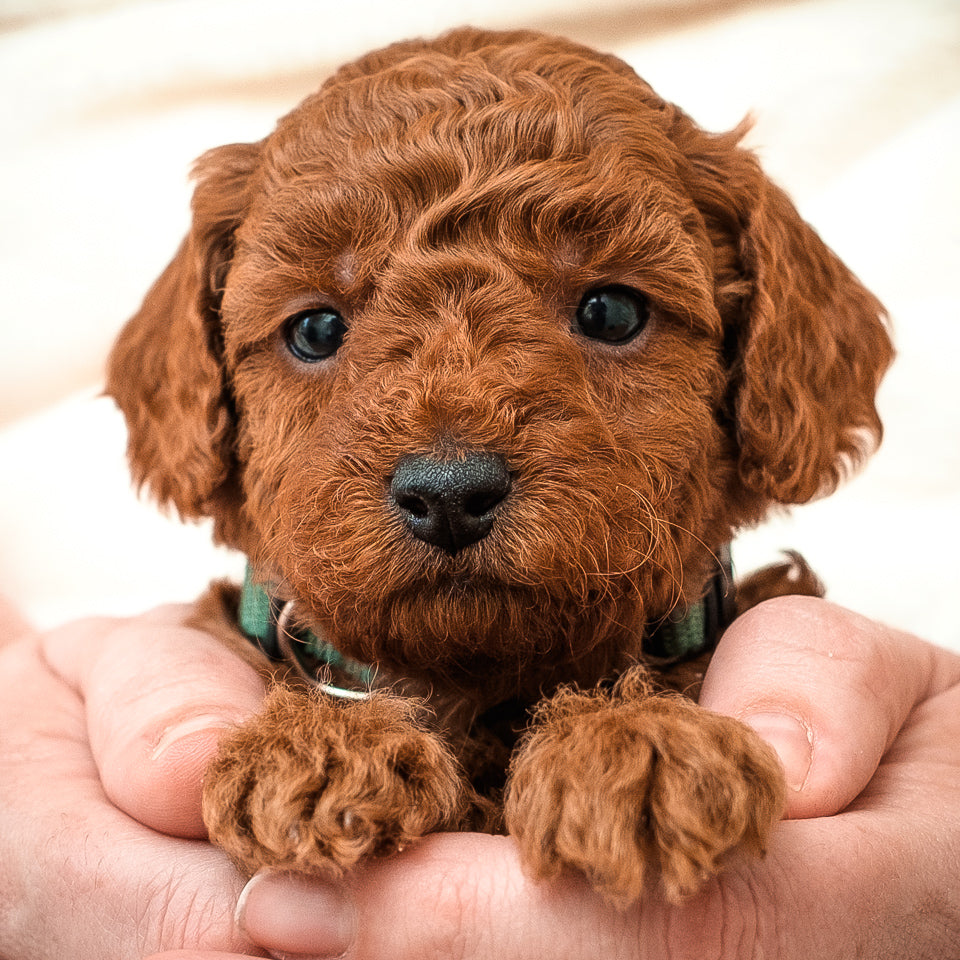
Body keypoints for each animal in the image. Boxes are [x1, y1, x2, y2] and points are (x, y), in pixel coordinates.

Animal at [109, 26, 896, 904]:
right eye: (315, 329)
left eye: (611, 311)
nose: (450, 492)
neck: (481, 685)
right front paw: (321, 744)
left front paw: (638, 743)